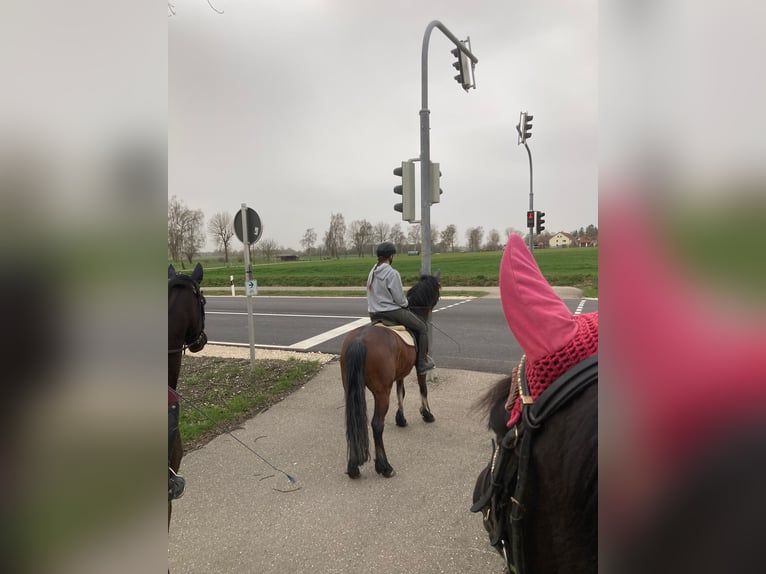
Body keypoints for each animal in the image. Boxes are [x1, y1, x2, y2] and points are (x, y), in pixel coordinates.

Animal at [340, 272, 440, 480]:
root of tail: (359, 340)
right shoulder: (418, 369)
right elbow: (423, 390)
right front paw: (427, 414)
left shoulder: (400, 373)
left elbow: (401, 393)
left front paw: (401, 419)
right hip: (381, 393)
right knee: (377, 425)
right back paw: (384, 466)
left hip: (350, 388)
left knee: (353, 420)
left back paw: (353, 467)